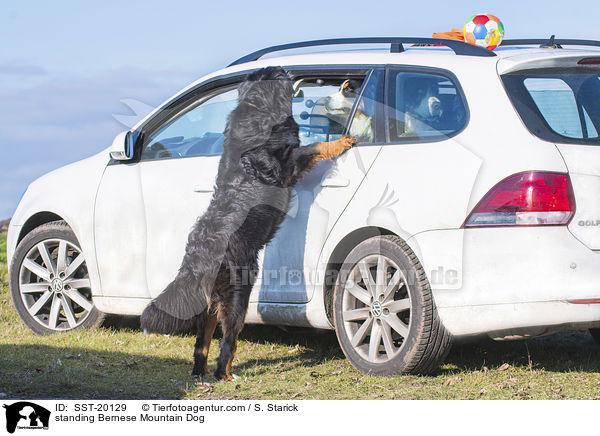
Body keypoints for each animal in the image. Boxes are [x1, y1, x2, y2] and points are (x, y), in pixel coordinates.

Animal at [141, 65, 356, 382]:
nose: (288, 69)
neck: (257, 107)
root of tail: (197, 256)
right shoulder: (287, 164)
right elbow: (315, 146)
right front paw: (341, 141)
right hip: (239, 294)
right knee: (228, 340)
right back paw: (226, 375)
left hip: (209, 304)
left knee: (201, 344)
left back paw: (201, 373)